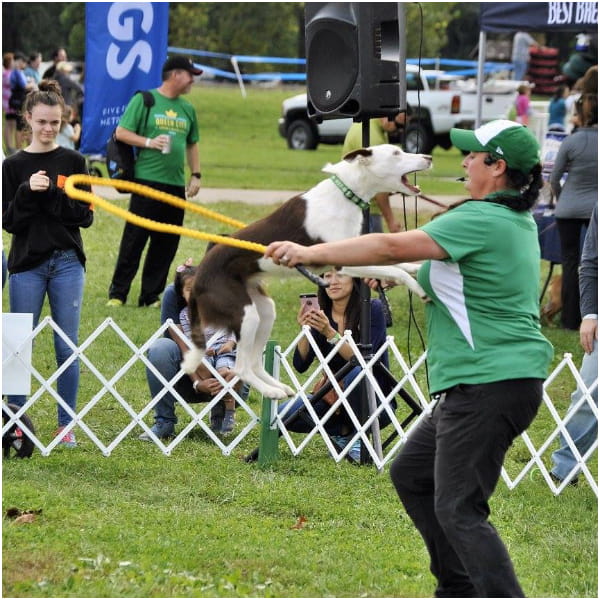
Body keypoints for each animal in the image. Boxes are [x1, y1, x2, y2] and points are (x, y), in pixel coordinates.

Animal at [183, 145, 432, 398]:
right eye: (396, 153)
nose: (429, 157)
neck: (345, 193)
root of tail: (198, 277)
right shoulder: (343, 263)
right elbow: (396, 271)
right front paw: (420, 288)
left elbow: (398, 265)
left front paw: (419, 266)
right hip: (244, 313)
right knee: (241, 368)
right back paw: (271, 391)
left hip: (264, 309)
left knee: (254, 362)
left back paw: (280, 388)